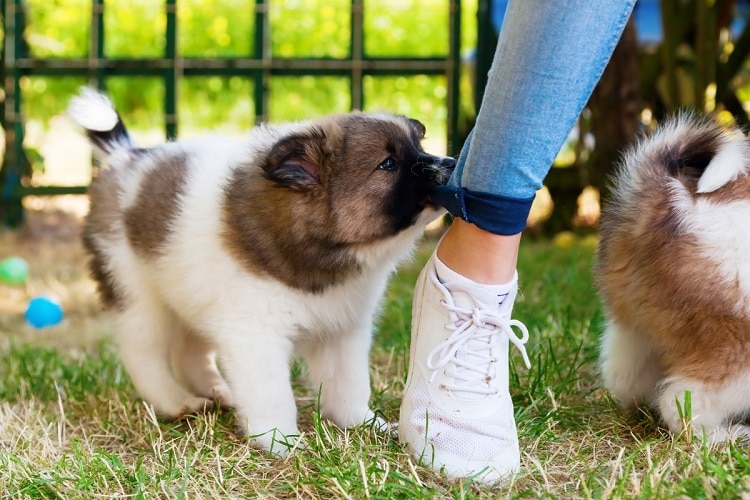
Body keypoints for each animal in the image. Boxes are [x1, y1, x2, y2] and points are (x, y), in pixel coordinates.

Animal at [69, 87, 458, 454]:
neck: (320, 251)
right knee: (144, 356)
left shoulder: (341, 331)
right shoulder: (255, 335)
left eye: (418, 145)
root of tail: (126, 157)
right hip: (138, 296)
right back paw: (176, 401)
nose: (452, 163)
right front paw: (280, 441)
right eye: (388, 163)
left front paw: (361, 423)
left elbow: (347, 384)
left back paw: (218, 391)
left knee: (189, 353)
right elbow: (272, 393)